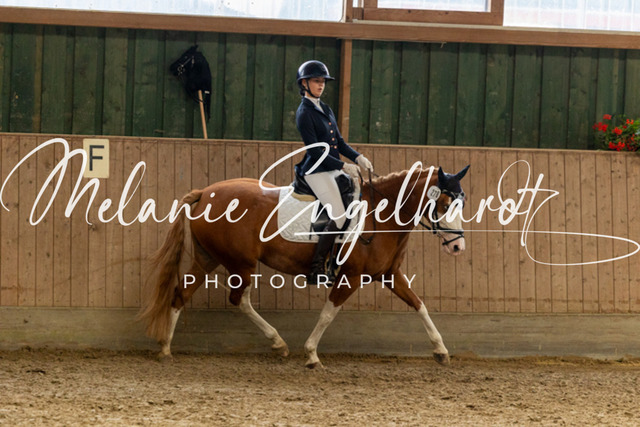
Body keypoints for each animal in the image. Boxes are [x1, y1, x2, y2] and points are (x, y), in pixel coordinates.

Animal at [138, 162, 469, 368]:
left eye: (462, 203)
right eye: (444, 204)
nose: (458, 247)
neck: (381, 216)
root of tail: (205, 192)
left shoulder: (389, 274)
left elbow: (419, 304)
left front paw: (441, 351)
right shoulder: (351, 277)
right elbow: (328, 314)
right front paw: (311, 355)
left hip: (209, 258)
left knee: (182, 294)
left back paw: (166, 348)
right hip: (241, 263)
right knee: (238, 299)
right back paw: (277, 342)